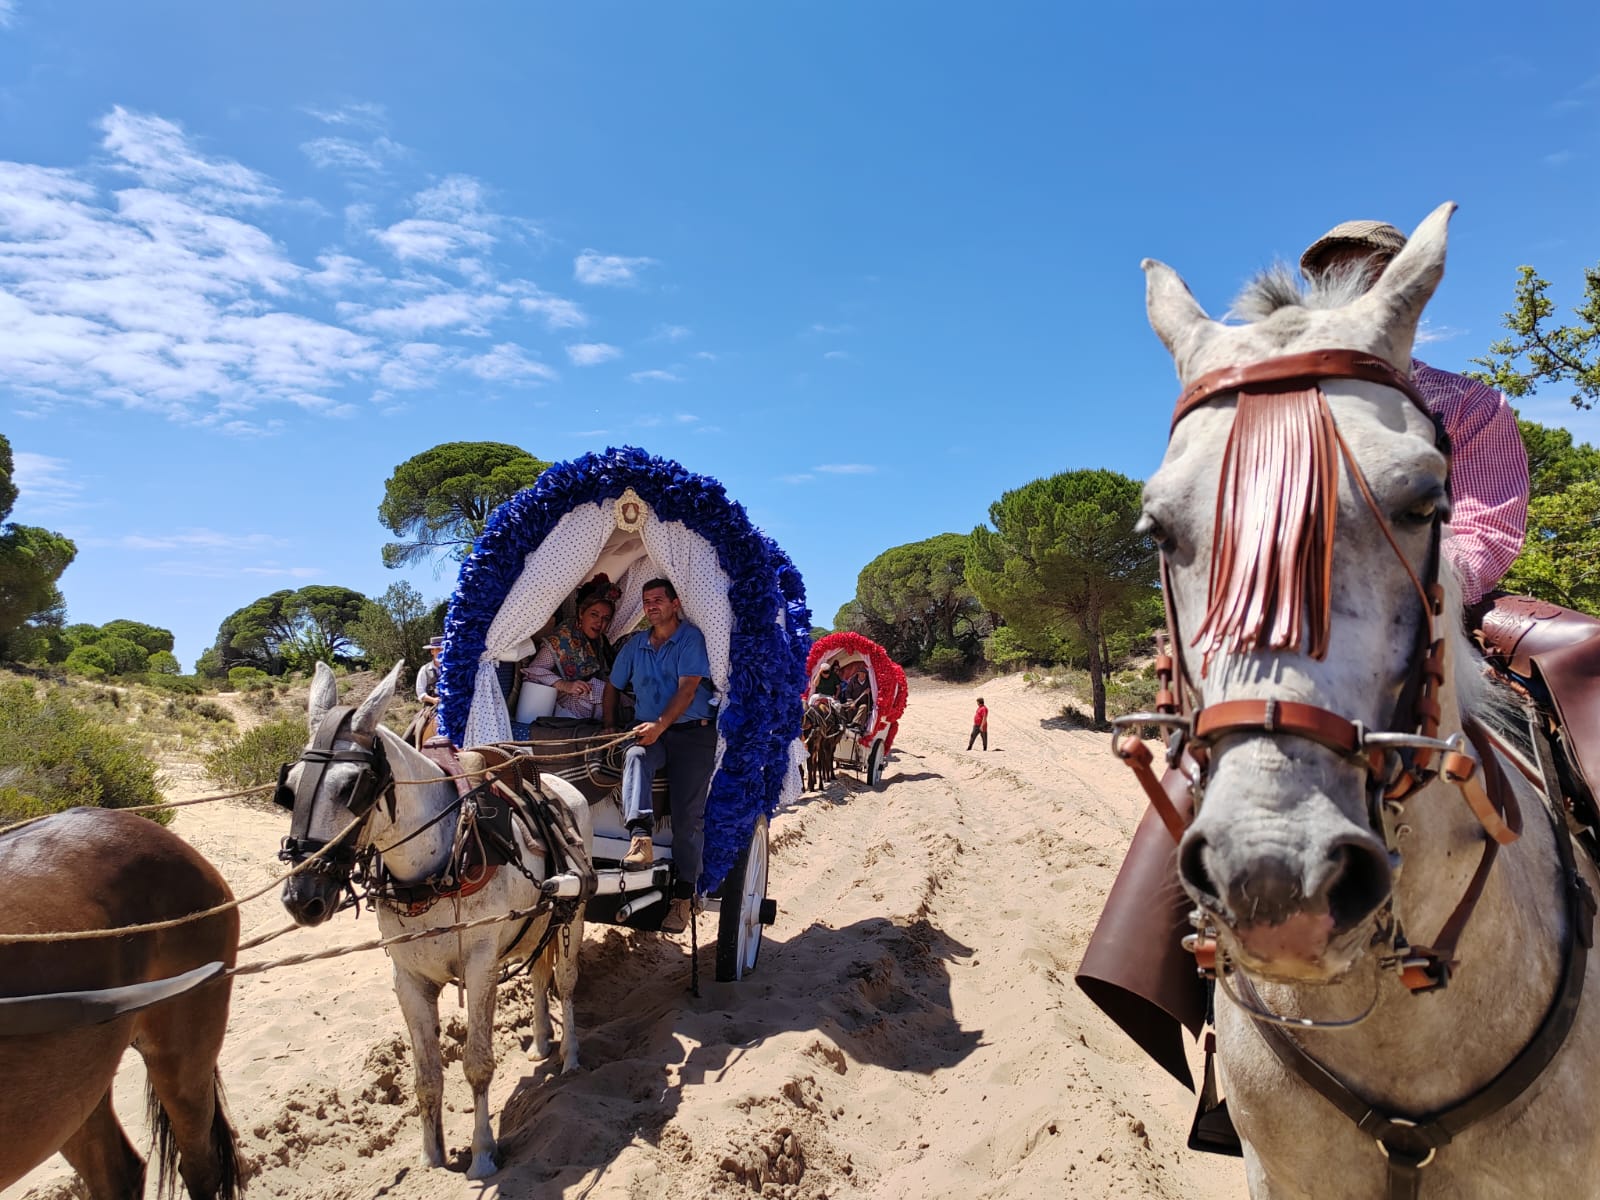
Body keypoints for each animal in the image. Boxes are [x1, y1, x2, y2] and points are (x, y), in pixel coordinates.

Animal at [281, 668, 595, 1184]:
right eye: (288, 787)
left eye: (353, 787)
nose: (301, 897)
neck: (437, 862)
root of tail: (556, 781)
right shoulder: (408, 978)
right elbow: (426, 1075)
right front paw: (431, 1157)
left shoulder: (481, 966)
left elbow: (478, 1064)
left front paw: (483, 1153)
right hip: (536, 923)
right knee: (538, 975)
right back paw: (540, 1043)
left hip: (575, 913)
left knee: (565, 982)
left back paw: (570, 1055)